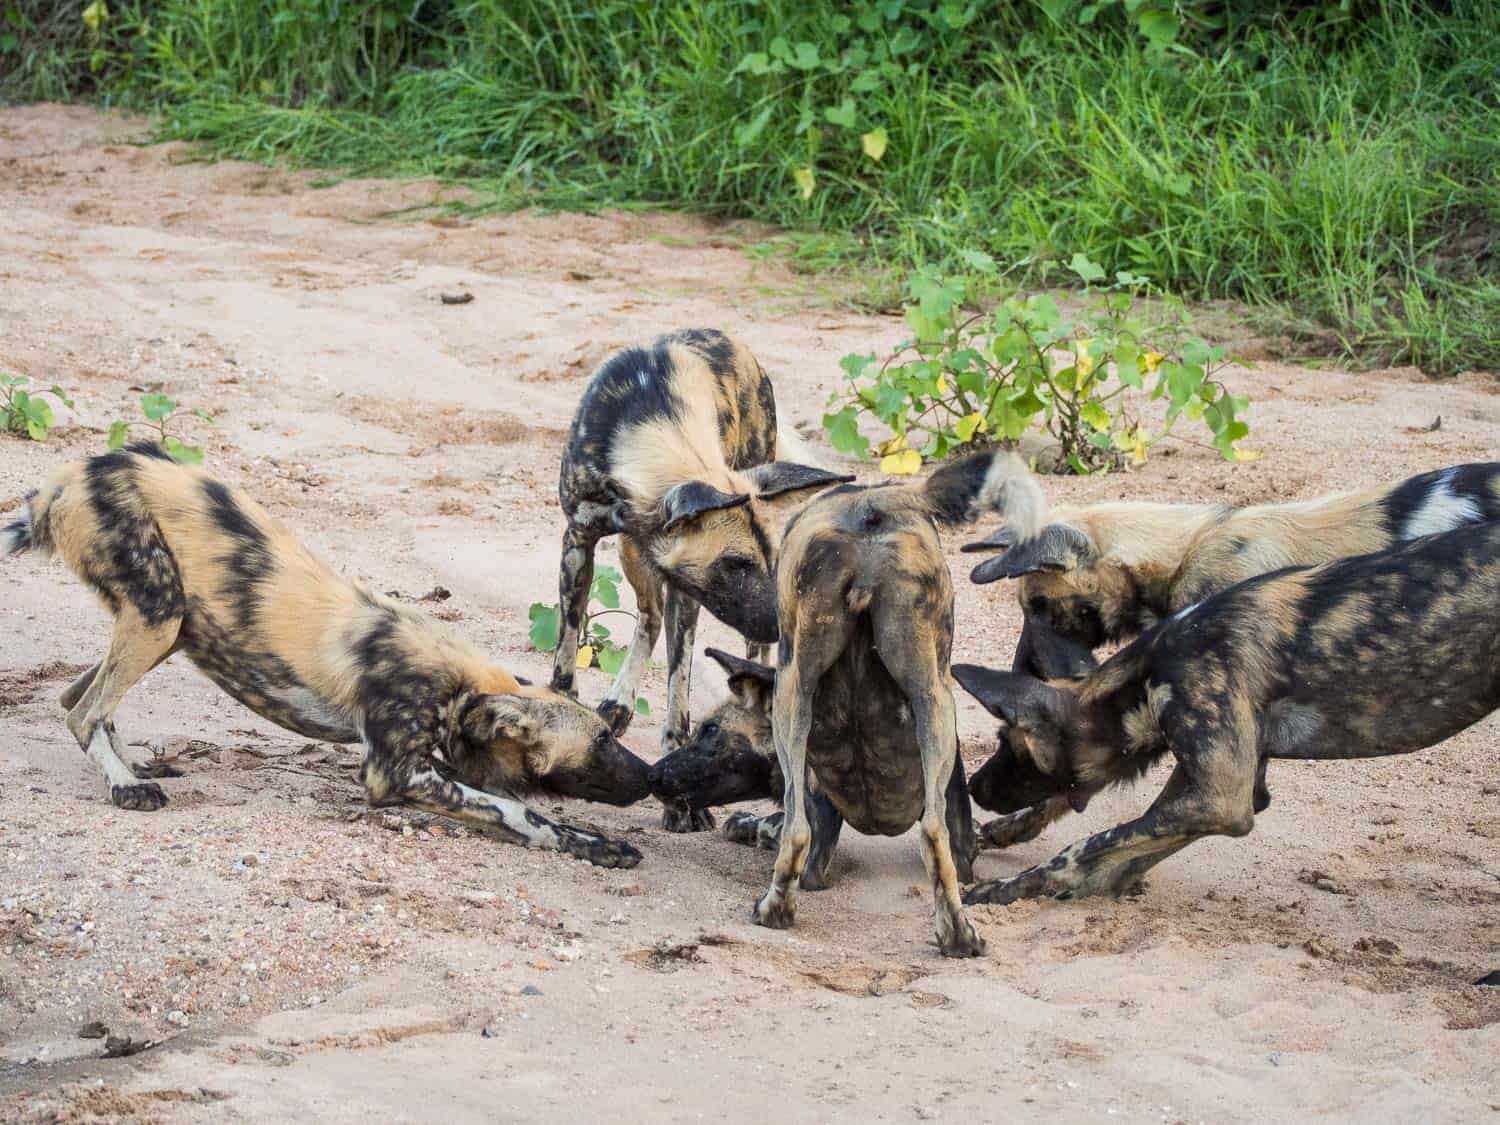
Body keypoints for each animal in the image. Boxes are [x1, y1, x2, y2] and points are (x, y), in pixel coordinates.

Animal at [2, 444, 654, 870]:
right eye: (601, 742)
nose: (654, 776)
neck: (462, 688)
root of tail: (67, 477)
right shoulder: (394, 774)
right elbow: (521, 815)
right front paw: (598, 846)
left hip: (170, 625)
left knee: (75, 696)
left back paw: (134, 766)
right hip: (160, 616)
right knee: (81, 711)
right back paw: (125, 788)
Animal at [558, 324, 852, 828]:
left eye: (770, 560)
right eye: (734, 563)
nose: (782, 624)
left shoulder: (685, 586)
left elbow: (679, 700)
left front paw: (681, 805)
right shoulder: (578, 542)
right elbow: (564, 656)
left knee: (739, 650)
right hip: (632, 552)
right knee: (649, 617)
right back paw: (618, 704)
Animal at [669, 453, 1044, 960]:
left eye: (709, 733)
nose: (658, 776)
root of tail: (869, 504)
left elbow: (777, 827)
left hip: (799, 693)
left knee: (800, 832)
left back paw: (776, 911)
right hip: (927, 699)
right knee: (926, 835)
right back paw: (956, 936)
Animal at [954, 522, 1500, 918]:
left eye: (1008, 745)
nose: (975, 787)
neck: (1147, 674)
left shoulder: (1219, 801)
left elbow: (1087, 844)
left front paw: (997, 888)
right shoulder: (1222, 790)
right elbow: (1110, 854)